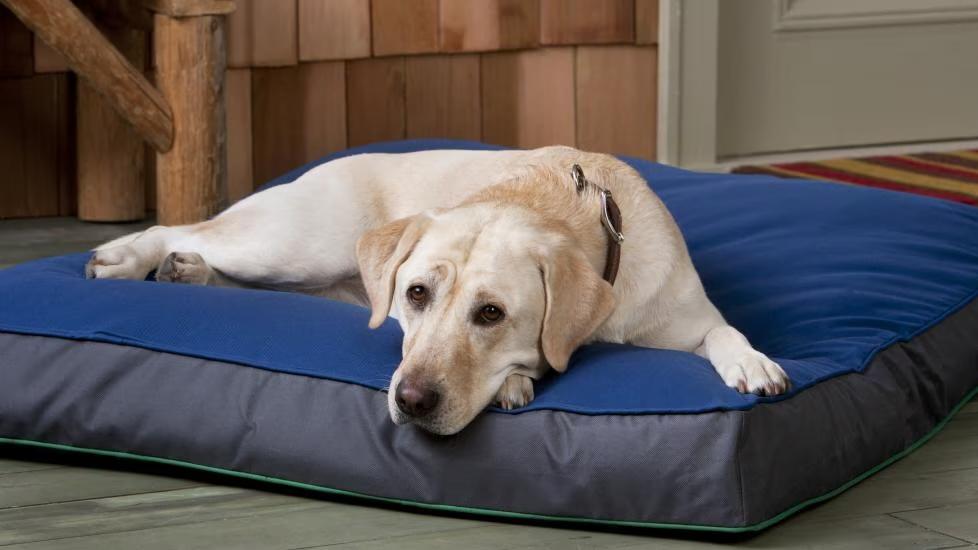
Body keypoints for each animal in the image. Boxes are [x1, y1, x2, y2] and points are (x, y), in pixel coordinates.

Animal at [86, 147, 784, 436]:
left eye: (492, 313)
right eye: (415, 295)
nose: (411, 401)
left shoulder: (684, 313)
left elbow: (723, 330)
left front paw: (753, 361)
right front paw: (513, 383)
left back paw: (189, 272)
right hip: (298, 240)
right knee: (184, 228)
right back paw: (128, 257)